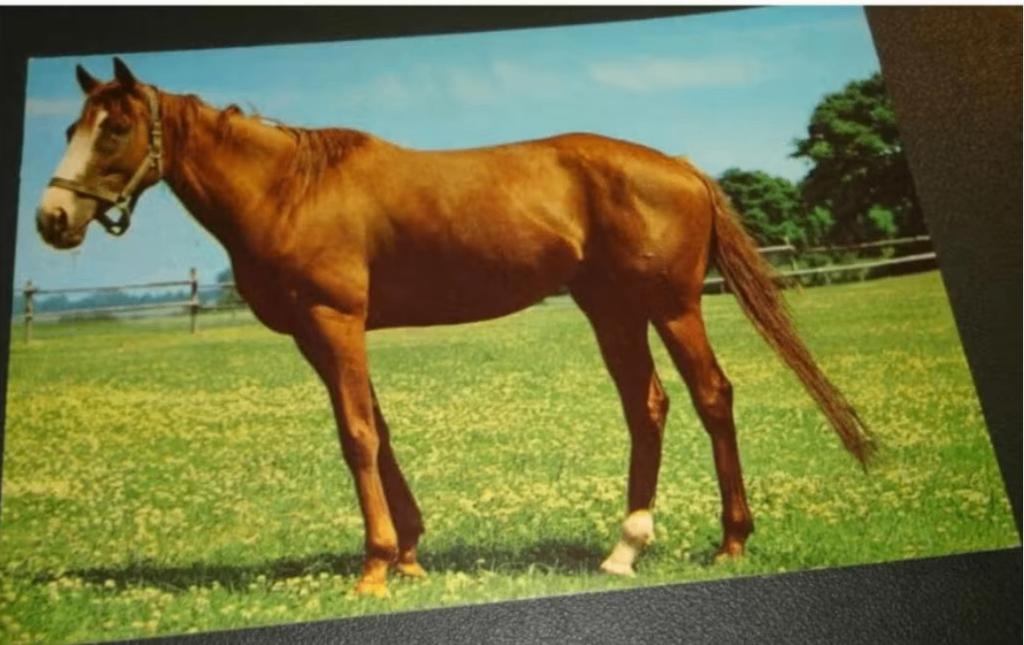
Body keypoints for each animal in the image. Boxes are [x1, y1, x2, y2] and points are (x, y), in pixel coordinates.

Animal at [35, 58, 874, 597]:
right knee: (649, 408)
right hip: (612, 308)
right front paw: (409, 552)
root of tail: (679, 163)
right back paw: (624, 548)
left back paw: (731, 538)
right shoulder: (321, 334)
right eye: (73, 124)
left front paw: (375, 565)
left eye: (115, 128)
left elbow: (356, 436)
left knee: (711, 397)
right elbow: (377, 429)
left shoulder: (335, 321)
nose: (52, 218)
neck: (290, 188)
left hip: (671, 306)